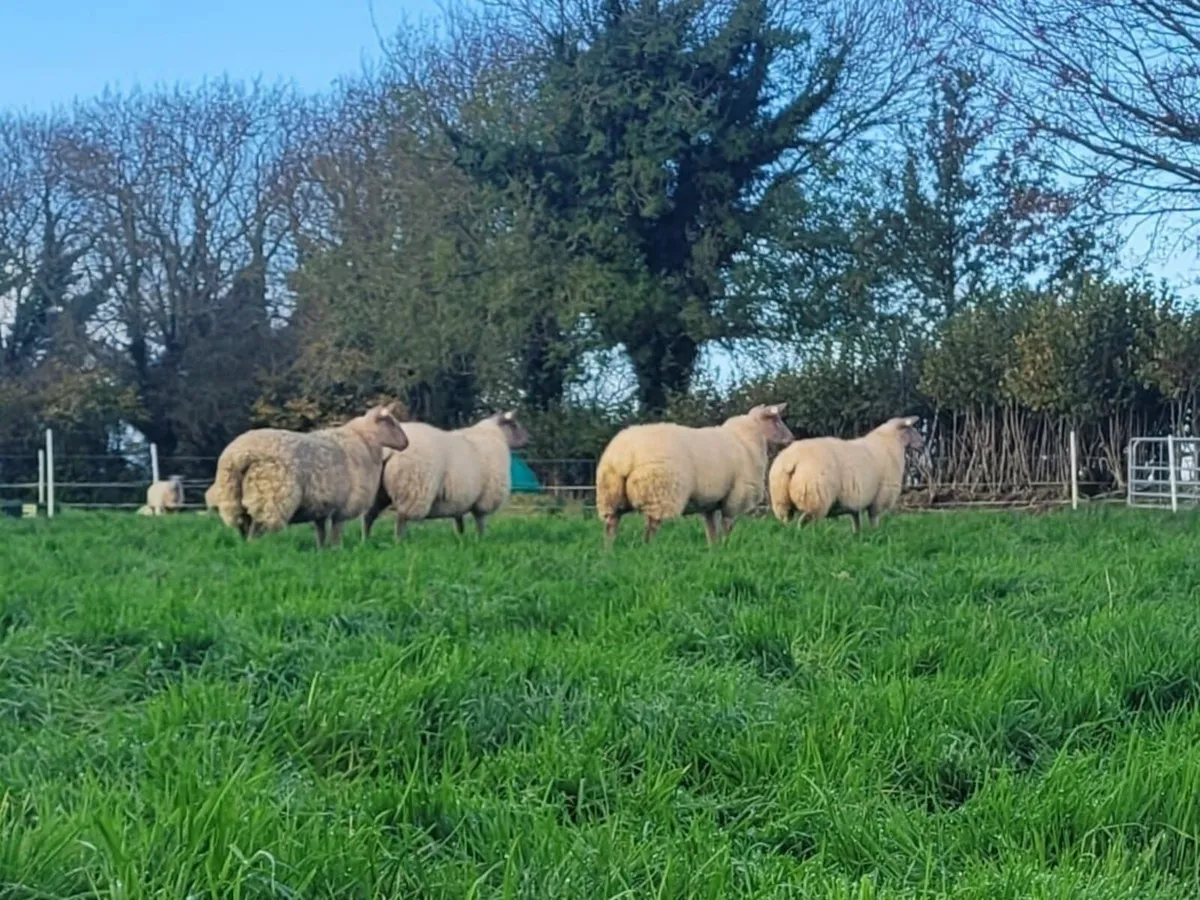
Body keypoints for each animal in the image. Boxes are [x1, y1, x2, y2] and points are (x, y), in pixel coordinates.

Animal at [210, 404, 409, 548]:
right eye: (391, 422)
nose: (406, 443)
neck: (365, 441)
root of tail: (240, 454)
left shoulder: (321, 506)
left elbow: (321, 533)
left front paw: (322, 551)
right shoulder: (343, 505)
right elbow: (336, 531)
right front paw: (337, 550)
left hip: (232, 498)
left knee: (243, 529)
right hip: (270, 498)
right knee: (256, 531)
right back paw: (258, 552)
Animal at [361, 410, 531, 541]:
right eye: (515, 425)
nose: (528, 440)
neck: (496, 435)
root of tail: (389, 450)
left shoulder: (459, 499)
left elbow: (459, 523)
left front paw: (461, 540)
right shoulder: (485, 498)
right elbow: (480, 521)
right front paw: (480, 539)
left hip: (378, 490)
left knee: (369, 515)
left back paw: (366, 540)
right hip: (413, 487)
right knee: (401, 518)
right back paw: (398, 542)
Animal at [595, 403, 794, 547]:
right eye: (776, 420)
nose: (791, 438)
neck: (746, 440)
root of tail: (624, 455)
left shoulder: (709, 503)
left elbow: (711, 529)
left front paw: (715, 549)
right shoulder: (735, 497)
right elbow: (727, 526)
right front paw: (727, 546)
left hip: (610, 495)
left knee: (611, 525)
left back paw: (608, 552)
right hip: (660, 493)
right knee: (651, 527)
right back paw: (648, 550)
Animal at [767, 415, 925, 532]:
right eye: (911, 429)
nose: (922, 444)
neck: (890, 443)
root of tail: (791, 460)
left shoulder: (855, 500)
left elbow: (856, 520)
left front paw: (858, 535)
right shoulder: (880, 497)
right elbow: (874, 519)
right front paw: (875, 534)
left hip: (782, 501)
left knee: (788, 522)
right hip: (815, 498)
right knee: (805, 523)